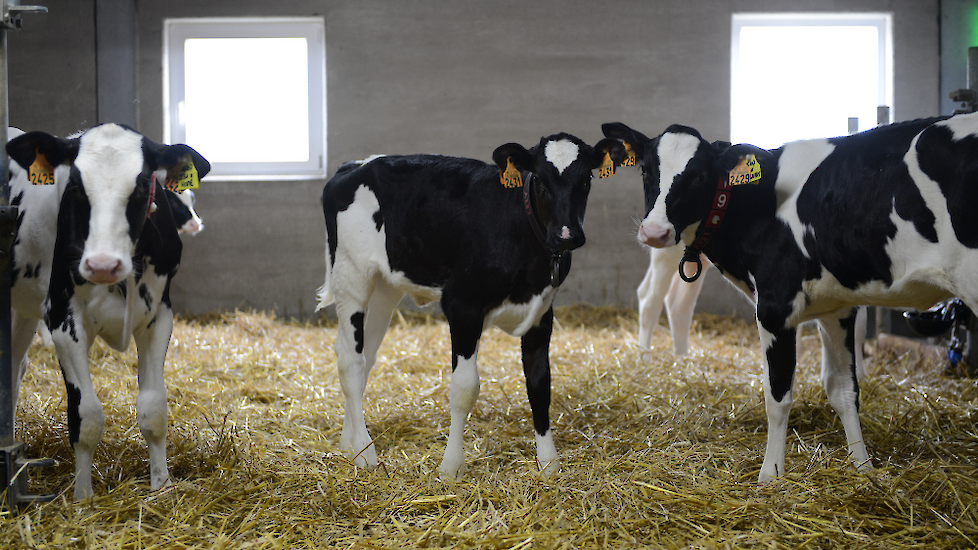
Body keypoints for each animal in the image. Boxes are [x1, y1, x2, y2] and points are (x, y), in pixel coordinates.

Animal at [6, 124, 208, 500]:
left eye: (143, 184)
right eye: (74, 185)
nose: (102, 264)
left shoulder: (159, 315)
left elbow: (154, 409)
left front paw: (161, 486)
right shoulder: (62, 319)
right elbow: (87, 416)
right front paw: (83, 498)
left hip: (24, 311)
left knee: (12, 371)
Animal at [320, 133, 624, 478]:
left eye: (586, 180)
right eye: (541, 181)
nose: (567, 235)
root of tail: (354, 166)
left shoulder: (542, 313)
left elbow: (539, 383)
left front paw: (548, 462)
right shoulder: (462, 306)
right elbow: (465, 388)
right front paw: (451, 467)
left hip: (386, 285)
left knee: (364, 357)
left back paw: (349, 443)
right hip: (352, 275)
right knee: (350, 361)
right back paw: (364, 453)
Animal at [604, 115, 968, 484]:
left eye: (700, 176)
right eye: (646, 170)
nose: (654, 231)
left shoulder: (793, 307)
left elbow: (808, 392)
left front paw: (791, 473)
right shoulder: (814, 306)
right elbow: (827, 390)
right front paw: (790, 473)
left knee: (672, 302)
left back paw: (674, 359)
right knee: (653, 297)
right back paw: (651, 359)